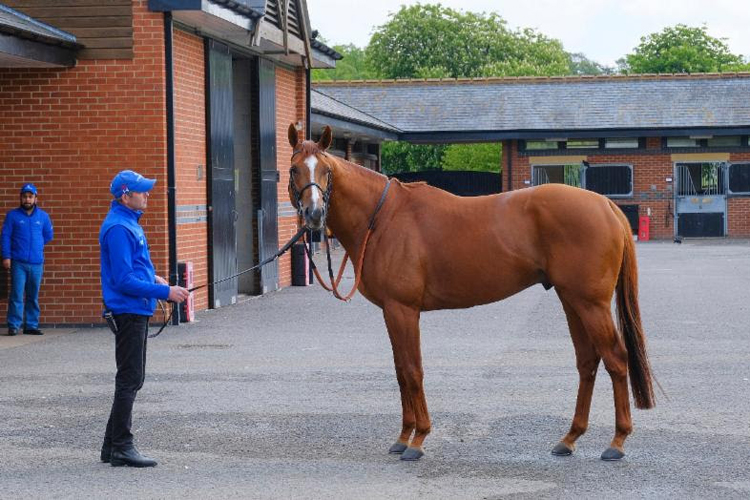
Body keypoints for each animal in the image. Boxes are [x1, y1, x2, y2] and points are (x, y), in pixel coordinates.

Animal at [290, 124, 656, 460]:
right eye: (295, 169)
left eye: (326, 170)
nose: (314, 214)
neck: (383, 218)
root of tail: (605, 204)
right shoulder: (391, 312)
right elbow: (400, 372)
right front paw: (403, 436)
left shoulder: (403, 309)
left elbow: (412, 371)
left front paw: (418, 439)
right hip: (572, 300)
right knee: (587, 361)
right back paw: (569, 438)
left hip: (591, 304)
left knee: (616, 359)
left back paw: (617, 441)